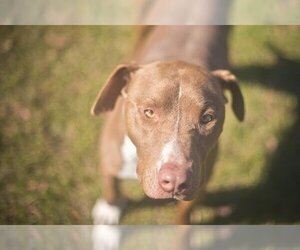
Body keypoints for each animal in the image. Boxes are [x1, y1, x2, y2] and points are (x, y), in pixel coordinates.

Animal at [91, 25, 244, 225]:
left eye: (207, 118)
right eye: (149, 112)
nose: (176, 180)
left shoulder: (201, 182)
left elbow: (184, 214)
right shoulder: (110, 158)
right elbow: (111, 187)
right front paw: (108, 213)